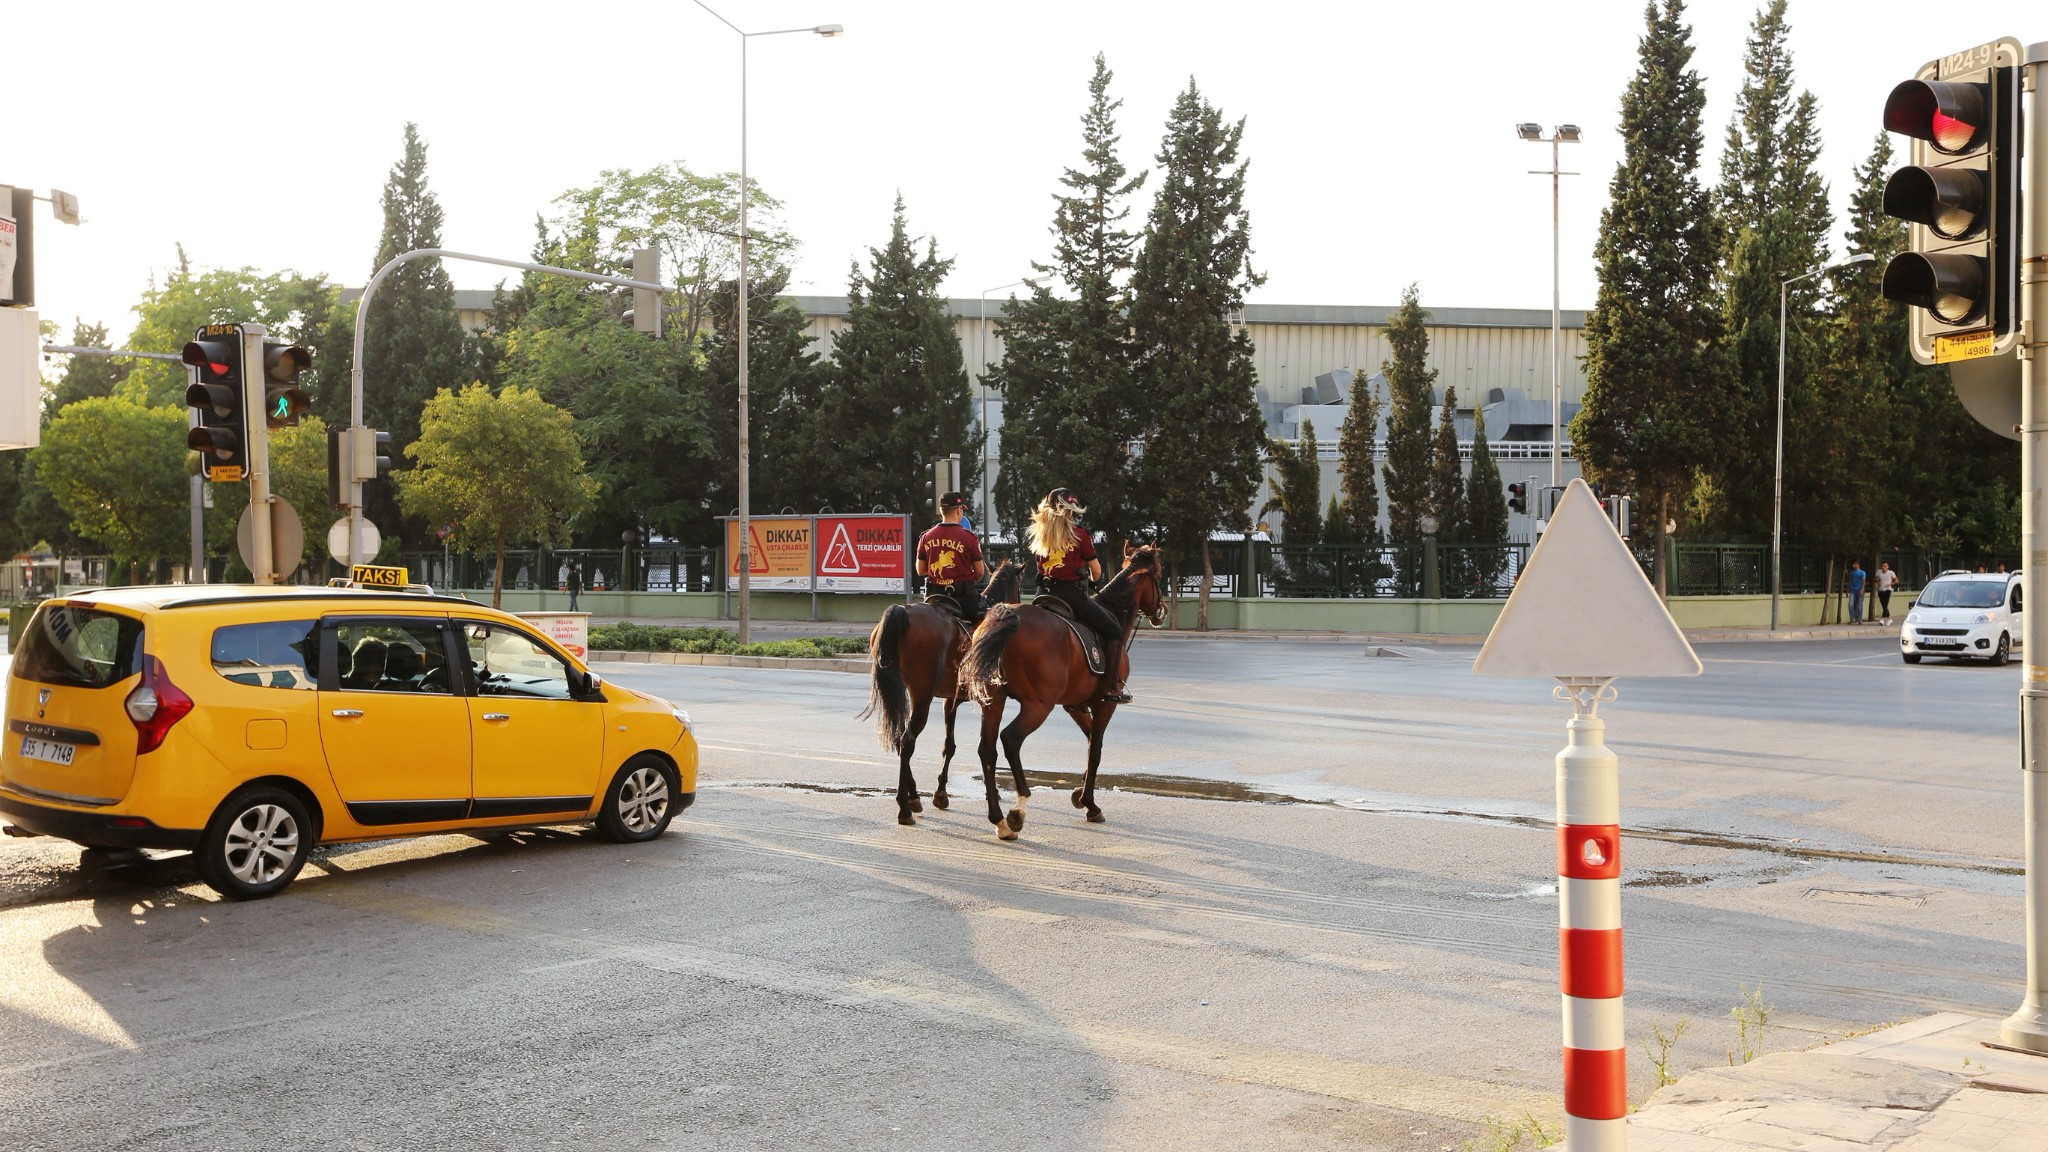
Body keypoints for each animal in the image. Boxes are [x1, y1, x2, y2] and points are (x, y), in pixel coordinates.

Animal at [864, 557, 1024, 819]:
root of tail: (903, 611)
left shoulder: (951, 700)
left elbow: (948, 746)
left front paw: (940, 793)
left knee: (899, 738)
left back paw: (914, 796)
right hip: (922, 696)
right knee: (907, 741)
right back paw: (904, 807)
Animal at [954, 541, 1163, 840]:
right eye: (1158, 575)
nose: (1161, 610)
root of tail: (1008, 616)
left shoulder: (1074, 705)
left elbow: (1089, 742)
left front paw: (1080, 792)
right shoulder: (1105, 704)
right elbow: (1095, 749)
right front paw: (1090, 803)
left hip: (993, 701)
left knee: (987, 749)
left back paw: (999, 819)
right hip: (1038, 705)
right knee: (1011, 739)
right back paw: (1018, 808)